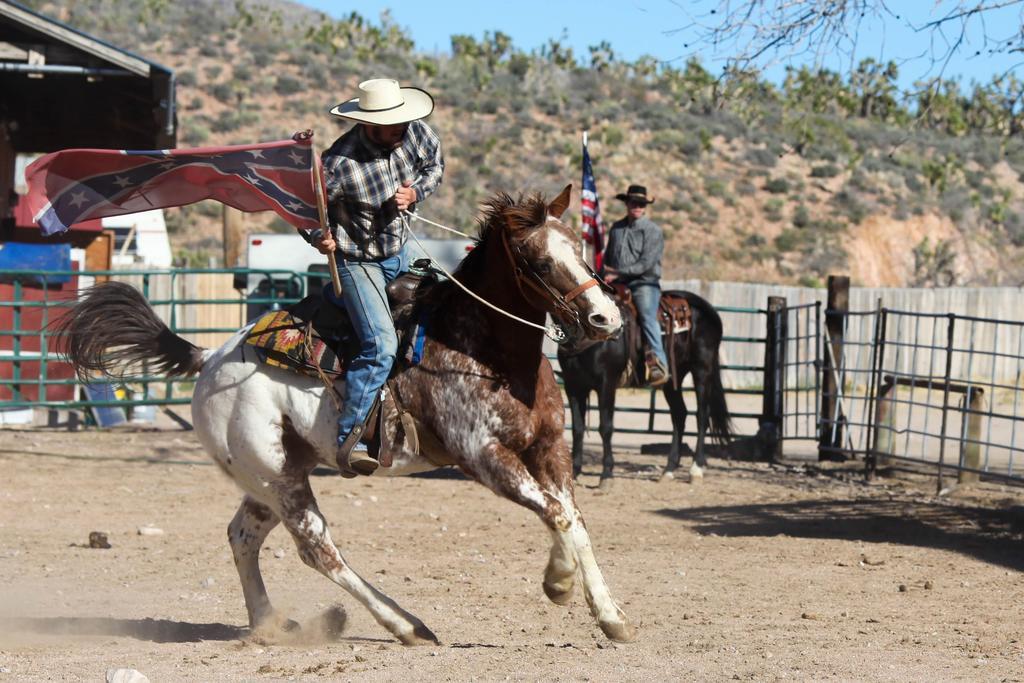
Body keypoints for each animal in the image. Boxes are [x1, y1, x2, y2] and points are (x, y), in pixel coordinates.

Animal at [58, 188, 638, 647]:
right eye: (538, 261)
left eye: (580, 247)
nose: (606, 319)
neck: (482, 350)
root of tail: (208, 359)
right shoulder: (483, 456)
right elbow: (556, 515)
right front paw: (559, 583)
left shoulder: (550, 447)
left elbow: (573, 518)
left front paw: (609, 616)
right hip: (280, 479)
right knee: (318, 550)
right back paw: (406, 625)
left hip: (272, 477)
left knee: (243, 536)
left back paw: (269, 625)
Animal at [557, 290, 733, 489]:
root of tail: (709, 310)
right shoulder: (573, 387)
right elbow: (577, 429)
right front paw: (574, 472)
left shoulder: (606, 384)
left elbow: (605, 428)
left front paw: (606, 474)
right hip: (673, 377)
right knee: (679, 415)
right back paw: (668, 470)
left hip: (702, 370)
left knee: (702, 416)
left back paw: (696, 469)